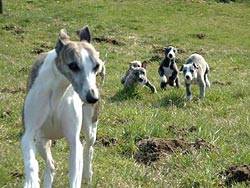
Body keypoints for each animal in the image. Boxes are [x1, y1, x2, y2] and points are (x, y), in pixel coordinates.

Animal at [20, 25, 104, 187]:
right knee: (51, 165)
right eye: (73, 66)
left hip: (90, 127)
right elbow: (32, 163)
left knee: (88, 148)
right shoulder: (29, 133)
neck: (58, 89)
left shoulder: (74, 141)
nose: (92, 98)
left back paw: (87, 173)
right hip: (41, 140)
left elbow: (75, 172)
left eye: (96, 66)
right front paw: (31, 181)